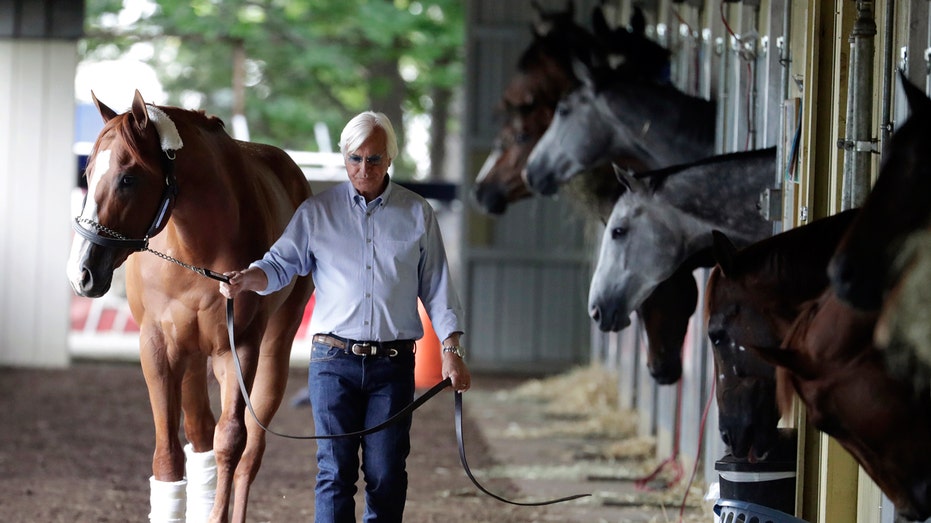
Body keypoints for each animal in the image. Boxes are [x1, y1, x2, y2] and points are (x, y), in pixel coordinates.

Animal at [65, 91, 314, 523]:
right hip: (193, 358)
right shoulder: (158, 348)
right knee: (200, 435)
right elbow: (168, 455)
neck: (196, 250)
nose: (81, 272)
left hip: (271, 352)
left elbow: (232, 440)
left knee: (250, 450)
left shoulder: (239, 348)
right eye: (89, 171)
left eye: (128, 178)